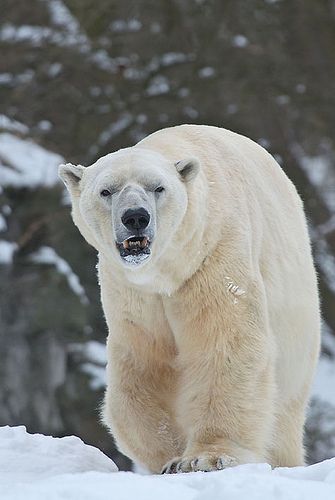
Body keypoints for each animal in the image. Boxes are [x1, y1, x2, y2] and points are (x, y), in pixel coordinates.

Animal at [59, 124, 320, 472]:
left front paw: (206, 457)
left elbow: (226, 342)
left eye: (158, 188)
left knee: (285, 410)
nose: (136, 217)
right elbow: (145, 361)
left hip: (297, 326)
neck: (169, 268)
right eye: (106, 191)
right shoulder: (133, 291)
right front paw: (170, 458)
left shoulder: (214, 255)